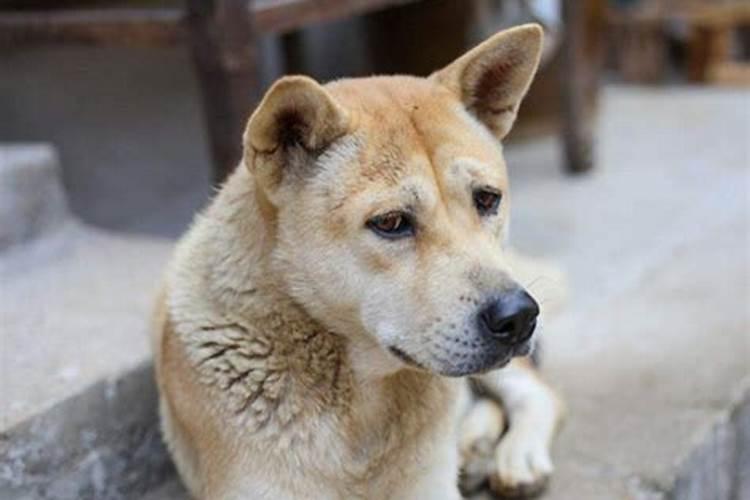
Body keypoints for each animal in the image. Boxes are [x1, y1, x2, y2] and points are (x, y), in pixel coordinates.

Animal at [153, 24, 564, 500]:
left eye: (487, 199)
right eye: (391, 222)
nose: (518, 317)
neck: (360, 397)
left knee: (537, 392)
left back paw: (516, 455)